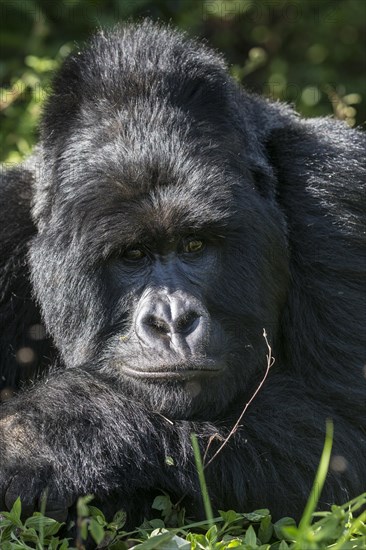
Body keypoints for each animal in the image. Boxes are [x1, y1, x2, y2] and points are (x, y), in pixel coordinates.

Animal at [0, 20, 366, 528]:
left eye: (194, 246)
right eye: (133, 255)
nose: (172, 322)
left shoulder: (339, 194)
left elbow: (344, 431)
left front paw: (33, 438)